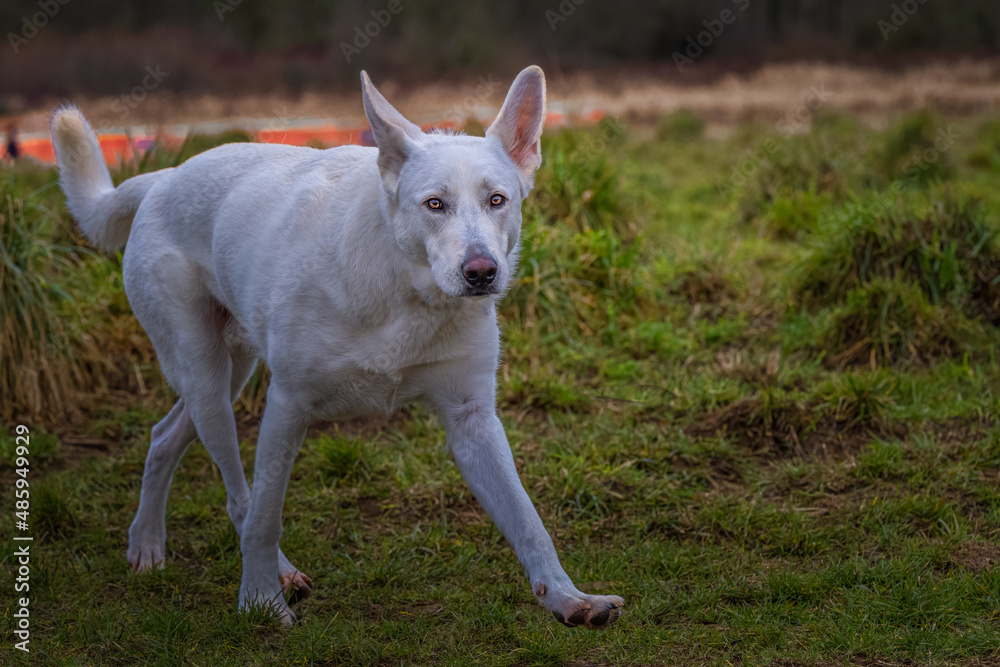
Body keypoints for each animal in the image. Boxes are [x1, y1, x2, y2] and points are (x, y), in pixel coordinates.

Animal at [50, 68, 624, 632]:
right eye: (434, 204)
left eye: (497, 200)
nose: (481, 273)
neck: (405, 291)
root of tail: (164, 177)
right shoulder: (287, 408)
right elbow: (266, 517)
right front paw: (259, 602)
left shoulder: (472, 420)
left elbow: (528, 521)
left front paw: (569, 599)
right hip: (205, 376)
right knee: (239, 493)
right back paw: (253, 568)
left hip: (230, 371)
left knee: (164, 436)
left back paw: (147, 543)